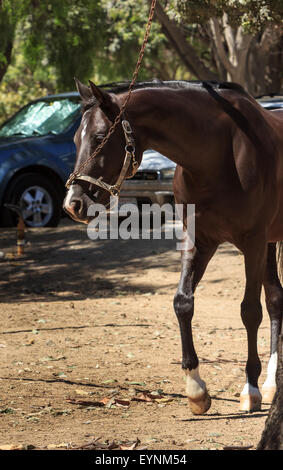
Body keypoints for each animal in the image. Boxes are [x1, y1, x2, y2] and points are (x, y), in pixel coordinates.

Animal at [63, 80, 283, 414]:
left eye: (100, 137)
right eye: (76, 139)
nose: (73, 203)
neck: (219, 154)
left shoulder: (253, 242)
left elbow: (249, 311)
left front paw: (250, 388)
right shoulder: (199, 240)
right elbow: (183, 302)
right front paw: (196, 389)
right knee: (276, 299)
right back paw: (272, 385)